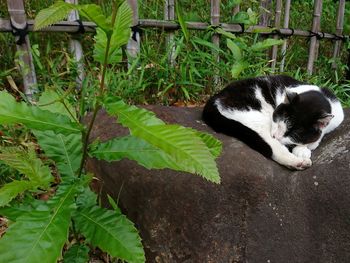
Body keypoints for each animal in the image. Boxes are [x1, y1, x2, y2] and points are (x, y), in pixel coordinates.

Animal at [202, 76, 344, 171]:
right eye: (278, 121)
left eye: (295, 134)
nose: (276, 135)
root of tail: (215, 98)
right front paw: (302, 151)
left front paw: (304, 148)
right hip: (257, 116)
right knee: (274, 147)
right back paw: (297, 162)